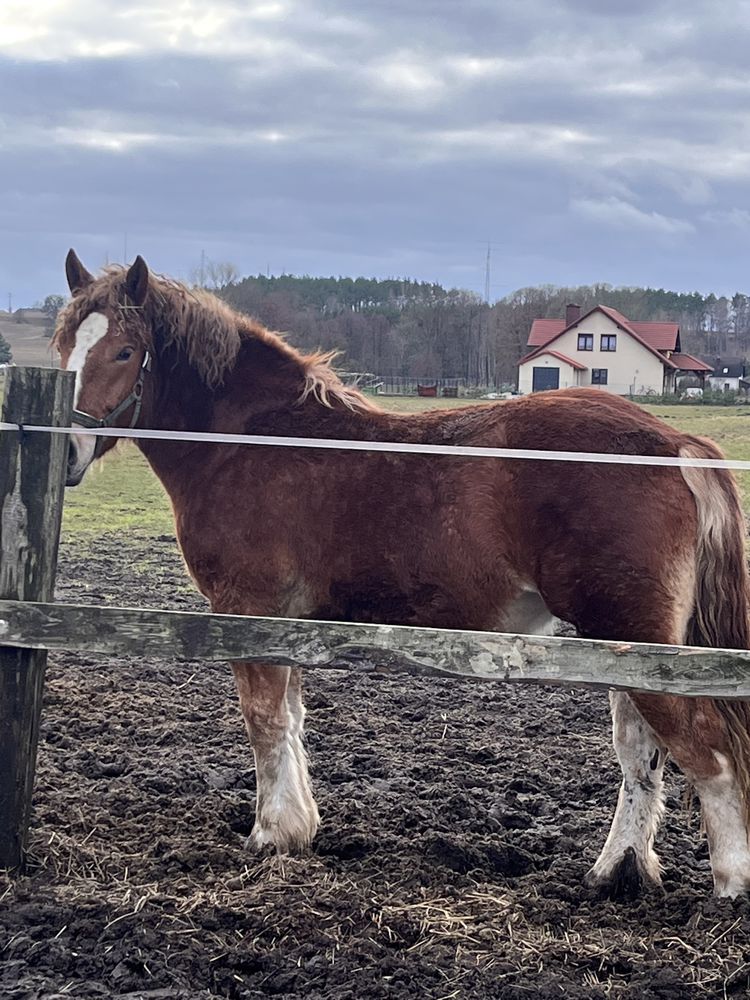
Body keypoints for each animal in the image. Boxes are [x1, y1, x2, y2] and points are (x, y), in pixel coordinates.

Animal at [55, 250, 750, 900]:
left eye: (123, 350)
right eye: (64, 345)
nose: (66, 450)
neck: (253, 442)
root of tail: (674, 444)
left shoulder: (248, 609)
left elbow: (264, 719)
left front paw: (271, 834)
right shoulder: (289, 622)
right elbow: (291, 718)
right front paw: (299, 827)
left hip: (635, 636)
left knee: (706, 749)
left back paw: (729, 881)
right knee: (642, 754)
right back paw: (615, 871)